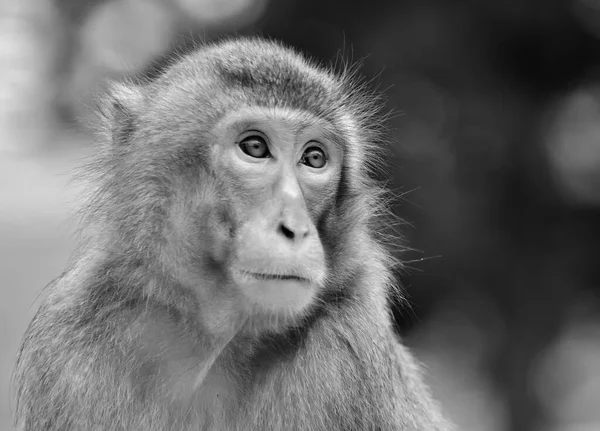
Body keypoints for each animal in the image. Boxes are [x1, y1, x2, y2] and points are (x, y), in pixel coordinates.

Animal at [11, 38, 450, 431]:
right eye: (254, 147)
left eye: (314, 158)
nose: (295, 228)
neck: (216, 345)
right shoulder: (71, 340)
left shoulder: (345, 352)